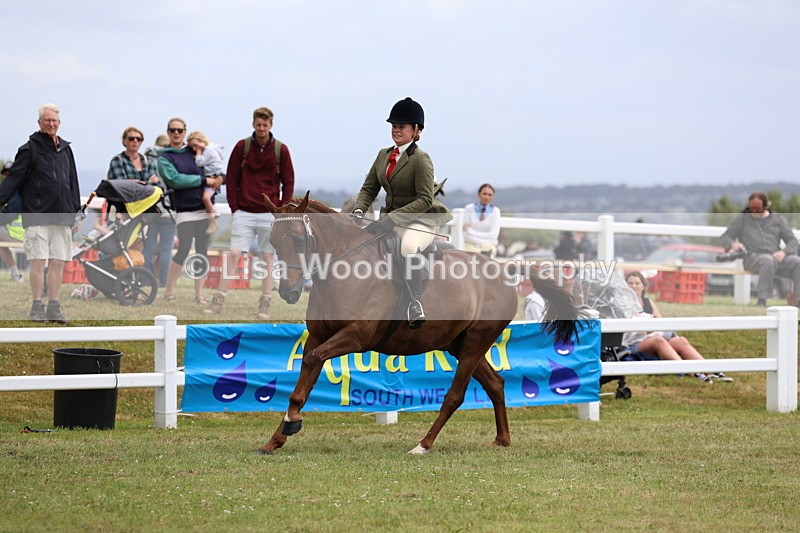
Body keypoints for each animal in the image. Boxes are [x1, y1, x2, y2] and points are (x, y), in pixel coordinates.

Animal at [258, 192, 581, 455]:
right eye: (273, 240)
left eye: (299, 240)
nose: (288, 292)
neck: (344, 268)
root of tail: (504, 268)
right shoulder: (318, 336)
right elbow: (304, 378)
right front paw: (277, 437)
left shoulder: (356, 336)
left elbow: (313, 360)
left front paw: (292, 423)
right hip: (460, 344)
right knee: (495, 384)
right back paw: (501, 439)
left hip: (476, 342)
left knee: (455, 395)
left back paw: (423, 444)